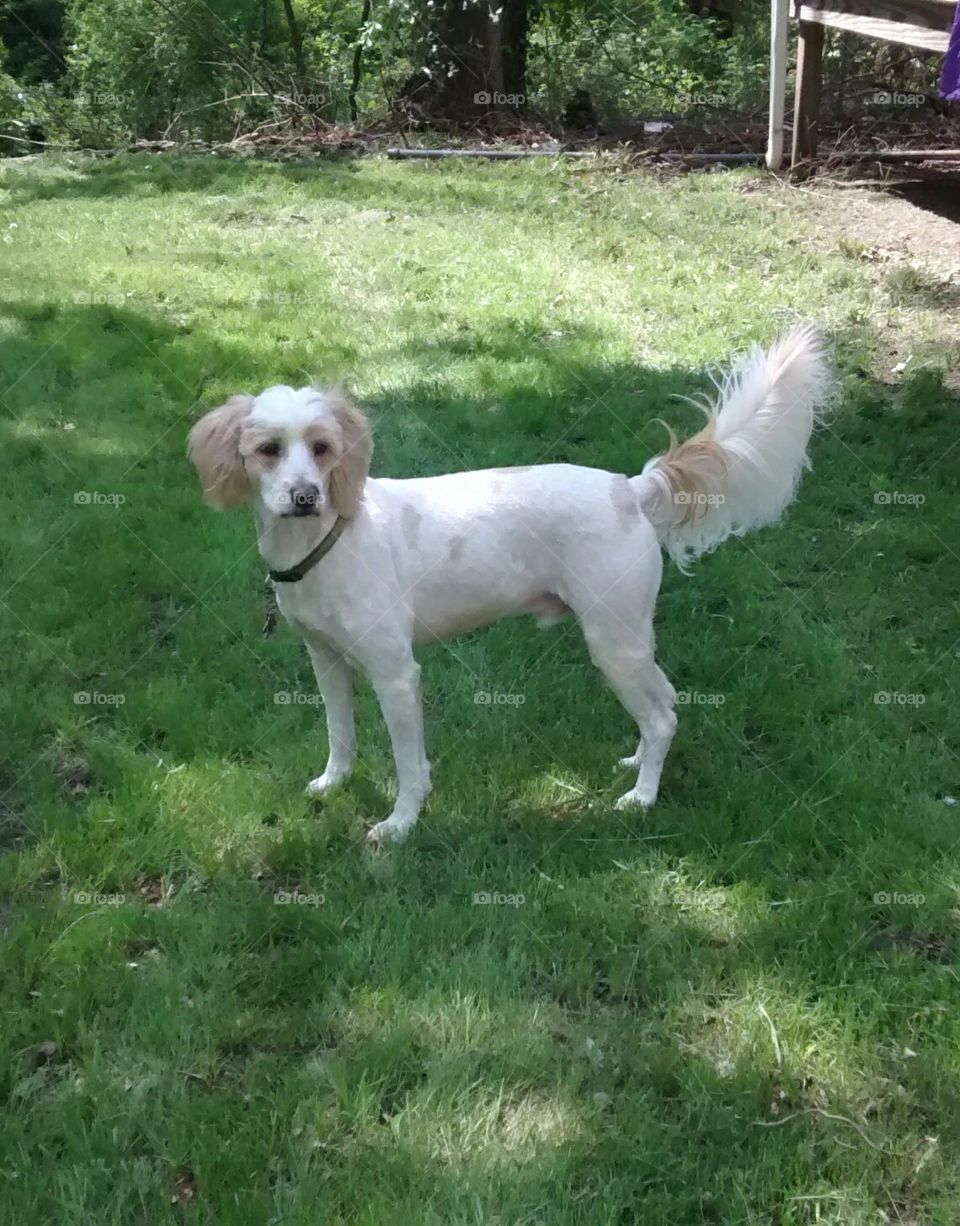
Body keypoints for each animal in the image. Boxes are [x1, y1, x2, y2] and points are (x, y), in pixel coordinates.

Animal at [191, 326, 828, 843]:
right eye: (268, 449)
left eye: (322, 448)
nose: (305, 496)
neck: (330, 542)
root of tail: (629, 487)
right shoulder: (326, 660)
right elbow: (340, 735)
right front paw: (334, 783)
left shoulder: (396, 675)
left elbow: (410, 766)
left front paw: (400, 826)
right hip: (628, 641)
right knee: (664, 702)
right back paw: (636, 763)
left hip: (613, 640)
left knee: (663, 715)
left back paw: (642, 797)